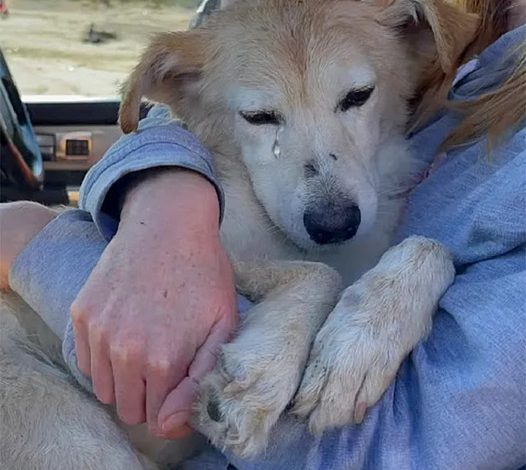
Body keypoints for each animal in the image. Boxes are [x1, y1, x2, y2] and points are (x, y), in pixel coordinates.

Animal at [0, 0, 478, 466]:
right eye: (258, 117)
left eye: (358, 96)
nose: (334, 224)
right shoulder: (198, 259)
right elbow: (320, 275)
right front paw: (264, 373)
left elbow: (430, 247)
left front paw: (358, 348)